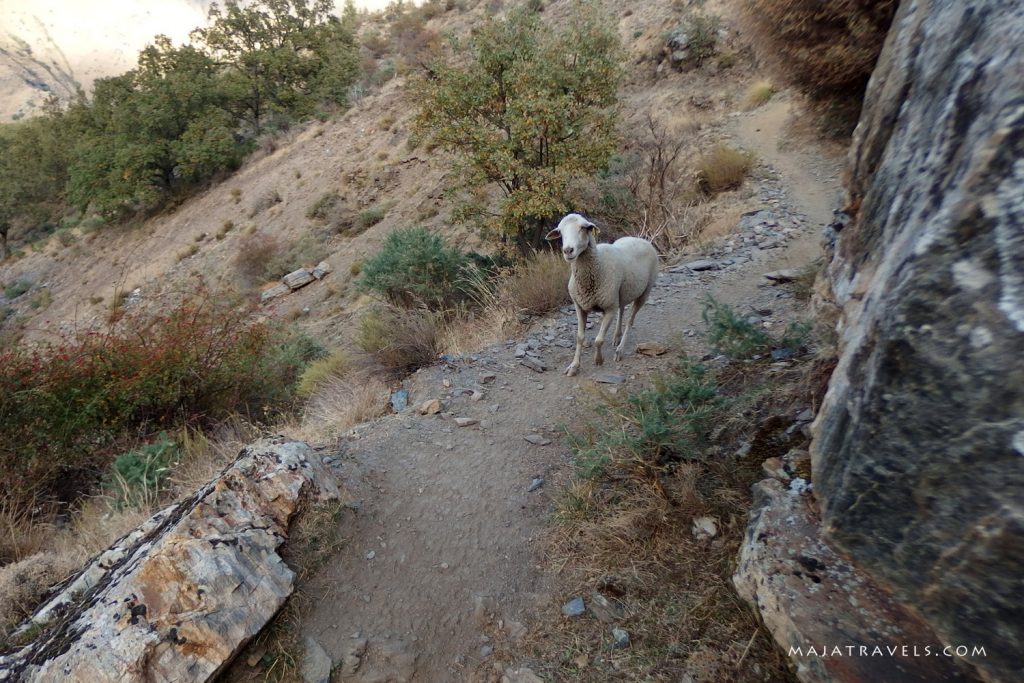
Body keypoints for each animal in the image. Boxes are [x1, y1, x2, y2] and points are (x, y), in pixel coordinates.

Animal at [548, 211, 659, 376]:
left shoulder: (609, 308)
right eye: (560, 232)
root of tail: (641, 239)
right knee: (622, 310)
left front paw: (598, 360)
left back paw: (620, 350)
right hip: (622, 292)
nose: (568, 250)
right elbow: (580, 337)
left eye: (584, 227)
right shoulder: (579, 306)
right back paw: (616, 337)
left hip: (645, 291)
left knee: (630, 321)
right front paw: (574, 366)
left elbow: (599, 340)